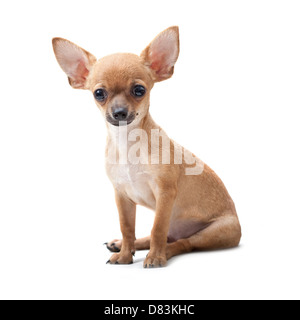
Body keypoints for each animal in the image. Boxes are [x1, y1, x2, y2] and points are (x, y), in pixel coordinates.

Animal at [52, 25, 241, 268]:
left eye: (139, 90)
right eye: (99, 94)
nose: (119, 112)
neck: (128, 143)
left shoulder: (165, 193)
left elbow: (158, 228)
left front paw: (155, 257)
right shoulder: (122, 196)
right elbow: (127, 228)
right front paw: (124, 255)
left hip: (215, 231)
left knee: (181, 242)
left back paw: (163, 252)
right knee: (156, 237)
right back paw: (122, 245)